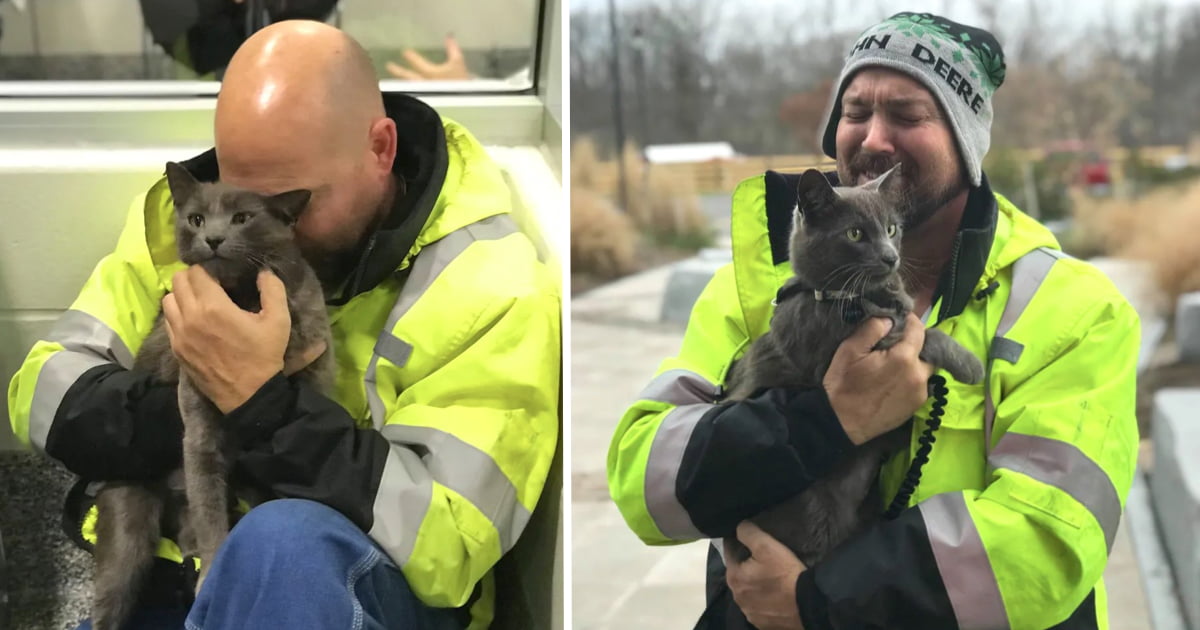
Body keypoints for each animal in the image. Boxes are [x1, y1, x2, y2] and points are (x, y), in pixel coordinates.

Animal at [90, 163, 336, 628]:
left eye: (242, 218)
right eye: (196, 219)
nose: (214, 238)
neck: (242, 299)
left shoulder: (316, 369)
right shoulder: (198, 424)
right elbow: (209, 505)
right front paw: (212, 571)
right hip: (130, 520)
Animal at [720, 164, 984, 566]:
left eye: (891, 229)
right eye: (855, 233)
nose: (890, 257)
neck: (851, 297)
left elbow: (914, 324)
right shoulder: (847, 347)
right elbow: (925, 333)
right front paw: (970, 364)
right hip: (811, 513)